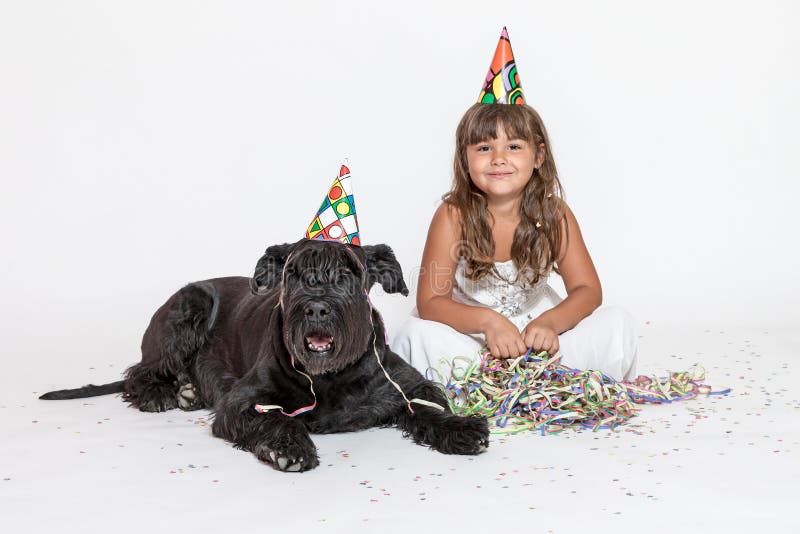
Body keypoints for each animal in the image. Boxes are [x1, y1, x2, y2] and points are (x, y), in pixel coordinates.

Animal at [40, 242, 490, 474]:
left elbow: (430, 403)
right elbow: (273, 417)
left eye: (348, 272)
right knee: (140, 372)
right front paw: (287, 447)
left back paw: (188, 391)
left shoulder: (405, 383)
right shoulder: (242, 400)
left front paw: (461, 428)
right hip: (189, 306)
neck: (328, 378)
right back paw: (162, 393)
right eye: (293, 273)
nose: (316, 308)